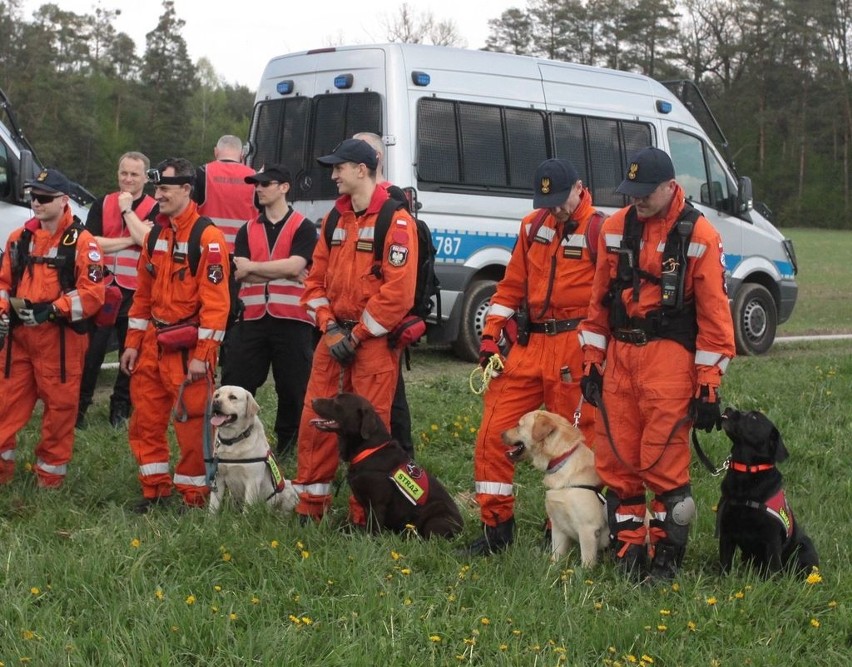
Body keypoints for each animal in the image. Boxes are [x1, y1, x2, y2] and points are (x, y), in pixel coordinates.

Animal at [207, 384, 298, 516]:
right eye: (217, 395)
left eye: (233, 397)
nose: (215, 402)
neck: (233, 440)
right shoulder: (218, 478)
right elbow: (213, 504)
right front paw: (210, 519)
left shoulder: (252, 481)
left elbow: (248, 507)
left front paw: (243, 521)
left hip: (287, 489)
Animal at [310, 394, 462, 540]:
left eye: (338, 402)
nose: (313, 400)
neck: (369, 449)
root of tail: (462, 529)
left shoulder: (377, 504)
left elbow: (374, 528)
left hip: (436, 518)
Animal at [502, 410, 608, 568]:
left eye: (519, 425)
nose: (501, 434)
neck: (562, 461)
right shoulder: (558, 526)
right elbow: (556, 556)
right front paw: (552, 570)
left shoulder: (589, 529)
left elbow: (586, 563)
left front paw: (583, 574)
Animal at [720, 410, 820, 576]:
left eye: (754, 417)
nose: (728, 409)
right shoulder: (726, 532)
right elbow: (725, 562)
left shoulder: (772, 539)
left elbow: (773, 569)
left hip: (803, 550)